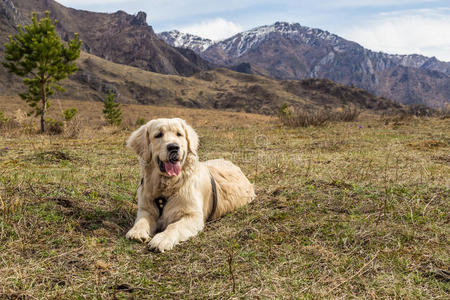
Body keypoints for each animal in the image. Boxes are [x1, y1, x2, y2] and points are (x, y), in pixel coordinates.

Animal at [125, 117, 255, 251]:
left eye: (179, 134)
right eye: (158, 135)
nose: (173, 147)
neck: (170, 183)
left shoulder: (193, 216)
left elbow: (174, 226)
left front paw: (162, 239)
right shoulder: (146, 209)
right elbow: (141, 220)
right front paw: (136, 232)